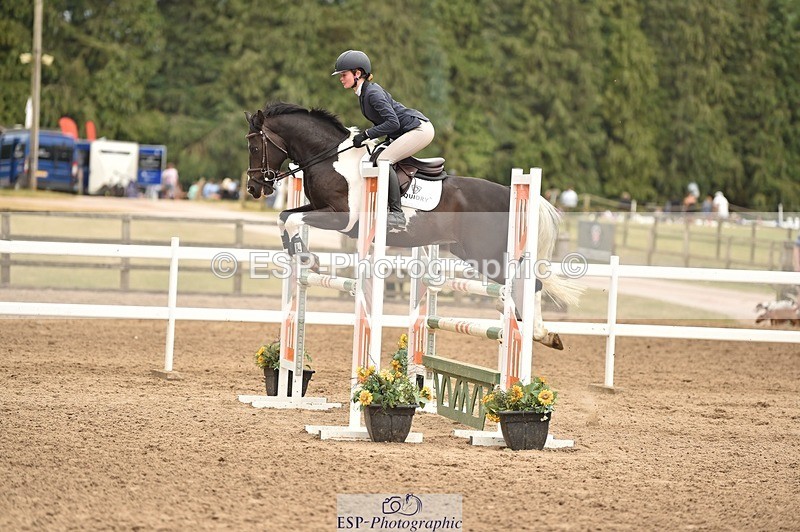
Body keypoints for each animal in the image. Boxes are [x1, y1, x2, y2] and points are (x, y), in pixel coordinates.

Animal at [245, 102, 582, 349]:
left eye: (254, 146)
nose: (253, 188)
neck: (331, 160)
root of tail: (509, 193)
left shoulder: (342, 217)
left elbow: (293, 219)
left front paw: (307, 258)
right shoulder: (319, 208)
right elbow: (284, 216)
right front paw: (299, 254)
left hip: (488, 253)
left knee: (531, 284)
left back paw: (538, 333)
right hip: (472, 253)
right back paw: (527, 325)